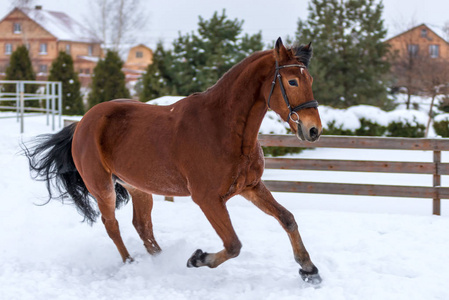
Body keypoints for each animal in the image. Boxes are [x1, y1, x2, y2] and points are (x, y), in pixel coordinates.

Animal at [24, 37, 322, 284]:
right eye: (292, 82)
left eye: (310, 80)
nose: (313, 130)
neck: (222, 128)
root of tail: (82, 123)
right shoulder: (207, 198)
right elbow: (233, 244)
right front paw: (197, 258)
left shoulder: (250, 187)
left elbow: (287, 219)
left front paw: (309, 269)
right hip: (102, 187)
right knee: (112, 226)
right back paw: (131, 264)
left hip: (138, 187)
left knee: (142, 227)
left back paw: (159, 261)